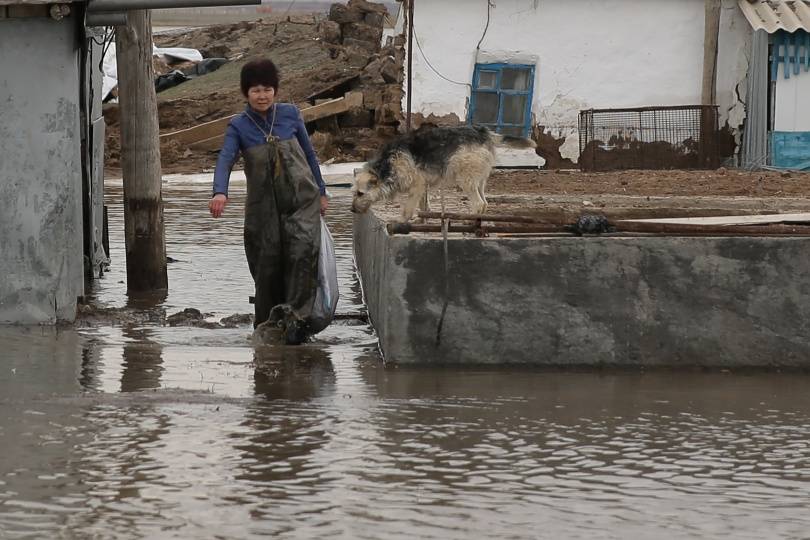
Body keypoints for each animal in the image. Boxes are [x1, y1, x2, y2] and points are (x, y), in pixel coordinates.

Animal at [350, 125, 532, 221]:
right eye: (354, 193)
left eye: (360, 193)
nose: (351, 210)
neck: (387, 165)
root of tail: (483, 132)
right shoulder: (423, 187)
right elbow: (425, 207)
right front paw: (423, 221)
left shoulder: (417, 186)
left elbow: (407, 210)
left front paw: (401, 223)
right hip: (479, 180)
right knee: (485, 203)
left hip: (465, 179)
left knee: (478, 204)